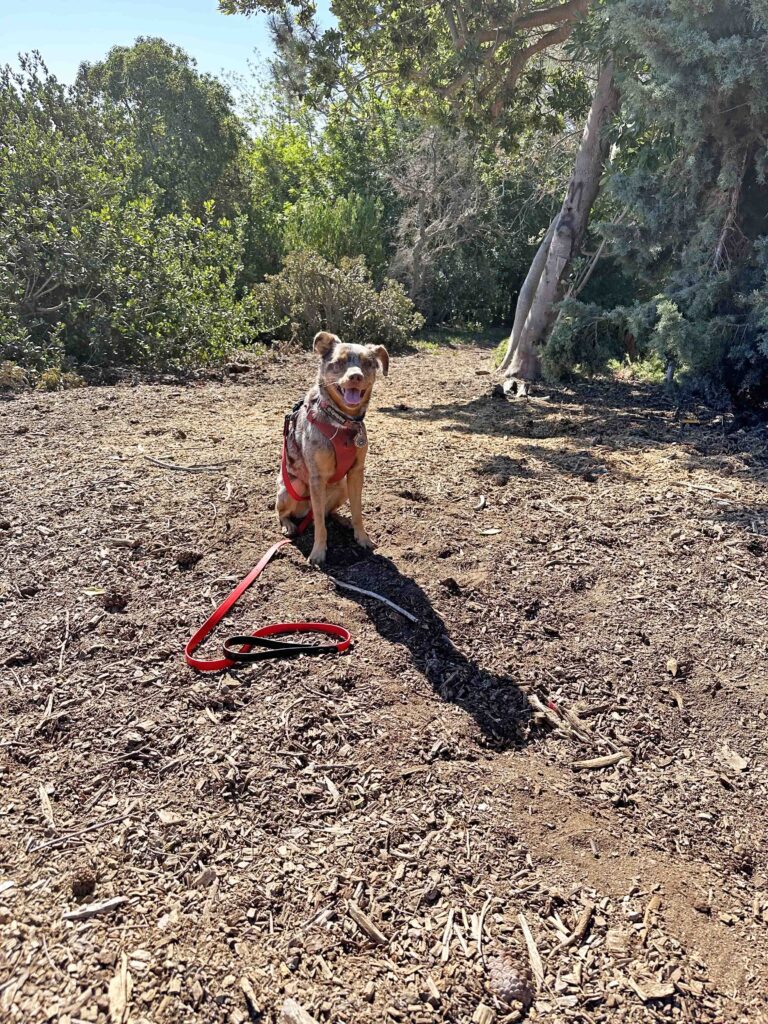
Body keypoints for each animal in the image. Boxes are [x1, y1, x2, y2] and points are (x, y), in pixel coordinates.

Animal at [276, 329, 391, 565]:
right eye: (338, 362)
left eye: (368, 363)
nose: (355, 377)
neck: (343, 422)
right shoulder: (317, 478)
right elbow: (320, 524)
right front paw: (318, 552)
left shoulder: (356, 473)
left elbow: (357, 511)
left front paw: (362, 537)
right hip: (294, 486)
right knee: (285, 513)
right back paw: (289, 525)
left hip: (342, 487)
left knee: (328, 512)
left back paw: (342, 520)